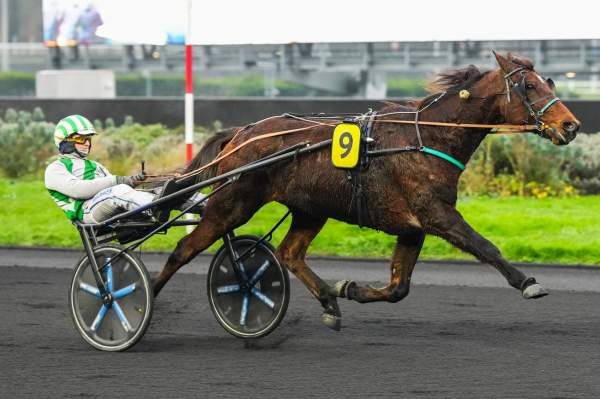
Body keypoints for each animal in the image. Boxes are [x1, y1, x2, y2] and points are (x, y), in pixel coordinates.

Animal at [152, 52, 580, 332]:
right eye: (529, 85)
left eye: (550, 82)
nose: (571, 125)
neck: (427, 137)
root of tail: (242, 133)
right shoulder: (436, 214)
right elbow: (485, 246)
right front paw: (528, 282)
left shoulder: (412, 227)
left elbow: (398, 288)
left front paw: (349, 288)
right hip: (232, 203)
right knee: (184, 249)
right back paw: (144, 298)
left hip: (311, 209)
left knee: (289, 253)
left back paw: (328, 300)